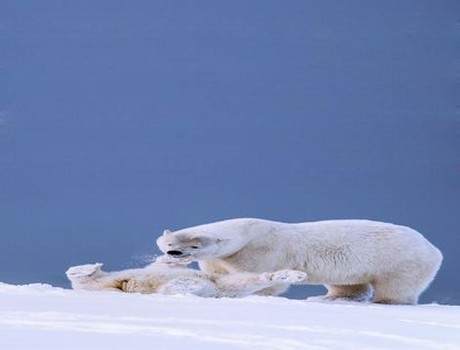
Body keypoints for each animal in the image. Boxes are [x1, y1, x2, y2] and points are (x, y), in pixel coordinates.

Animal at [157, 219, 442, 304]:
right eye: (169, 243)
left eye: (194, 244)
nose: (173, 254)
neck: (247, 232)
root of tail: (434, 249)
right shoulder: (218, 259)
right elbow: (219, 274)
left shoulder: (260, 250)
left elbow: (264, 278)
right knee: (347, 284)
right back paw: (328, 297)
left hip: (400, 260)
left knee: (396, 286)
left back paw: (386, 301)